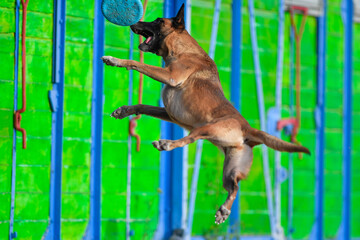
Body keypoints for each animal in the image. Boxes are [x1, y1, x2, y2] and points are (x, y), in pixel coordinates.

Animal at [101, 4, 310, 225]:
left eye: (158, 21)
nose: (134, 22)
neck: (182, 49)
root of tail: (247, 128)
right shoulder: (168, 112)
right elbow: (143, 106)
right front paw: (124, 111)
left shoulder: (170, 76)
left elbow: (136, 63)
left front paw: (114, 60)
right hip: (231, 168)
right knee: (234, 187)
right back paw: (224, 210)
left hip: (207, 128)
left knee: (190, 138)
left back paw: (166, 143)